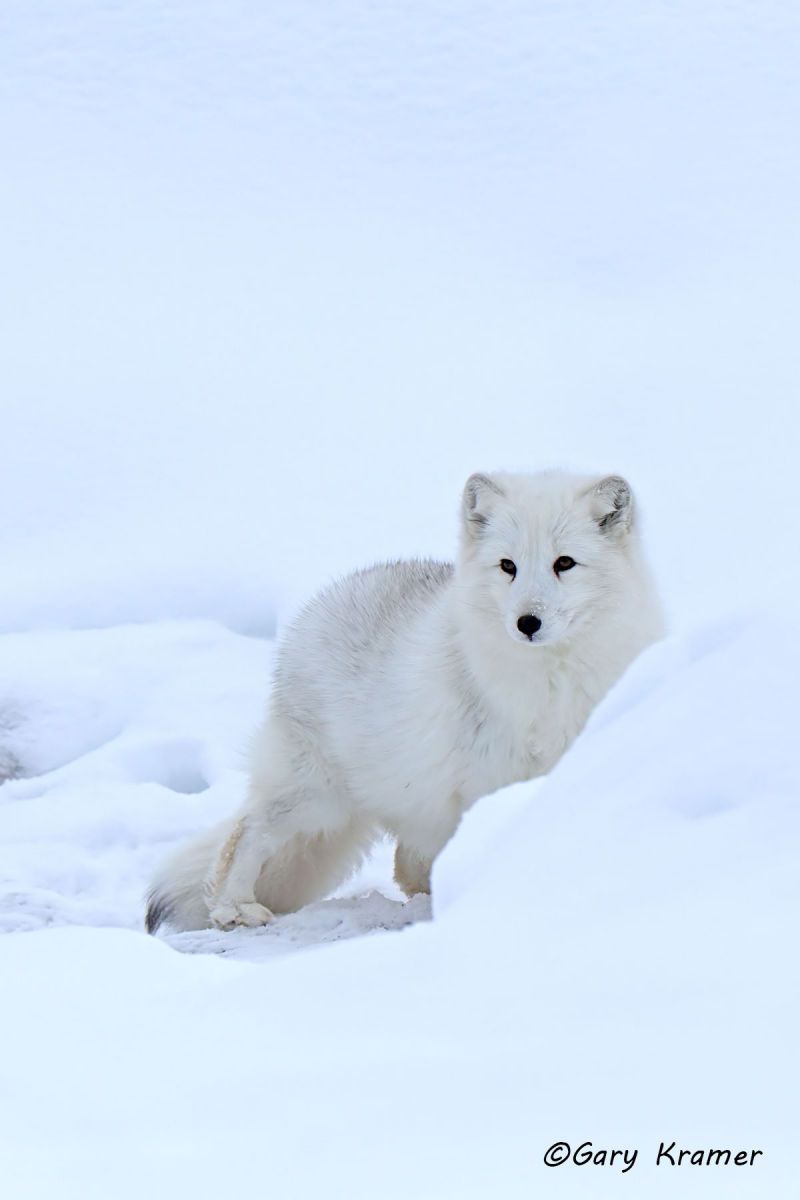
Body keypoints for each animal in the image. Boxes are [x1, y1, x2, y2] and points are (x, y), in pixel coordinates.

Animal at [146, 469, 663, 933]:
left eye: (565, 563)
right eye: (508, 566)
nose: (527, 623)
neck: (553, 678)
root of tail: (322, 601)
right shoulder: (488, 776)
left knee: (405, 863)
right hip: (313, 793)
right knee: (246, 832)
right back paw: (232, 907)